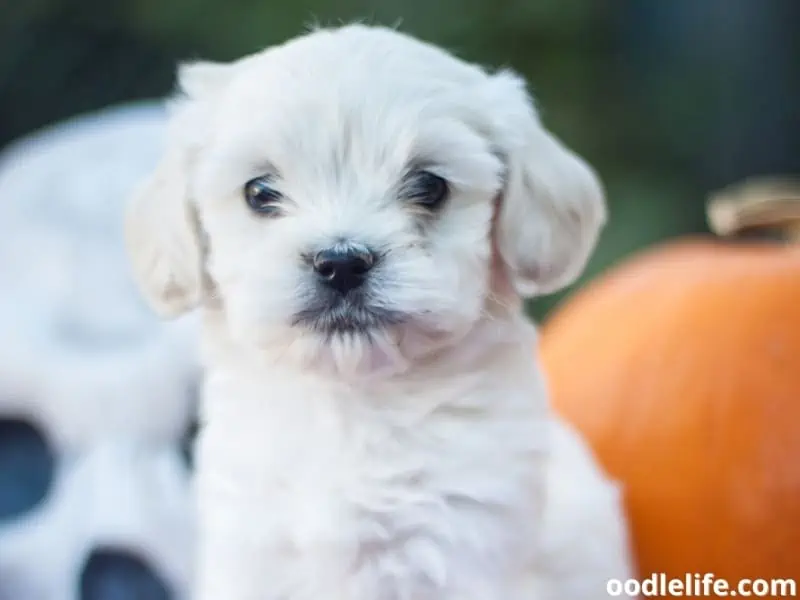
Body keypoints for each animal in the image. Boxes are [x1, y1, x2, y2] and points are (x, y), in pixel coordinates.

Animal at [126, 23, 636, 600]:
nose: (341, 263)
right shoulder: (249, 550)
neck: (352, 403)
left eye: (430, 187)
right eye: (259, 192)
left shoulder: (465, 549)